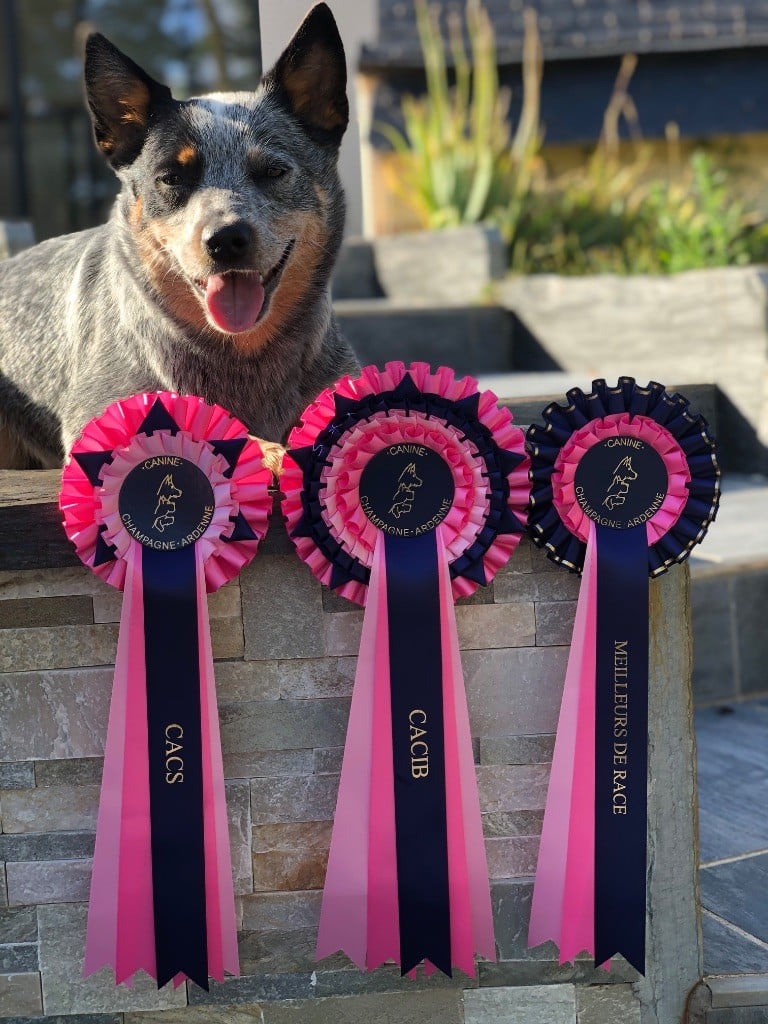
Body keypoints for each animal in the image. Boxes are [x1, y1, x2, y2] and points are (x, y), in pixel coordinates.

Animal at [0, 3, 358, 472]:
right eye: (171, 177)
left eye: (274, 170)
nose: (225, 239)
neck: (241, 357)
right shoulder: (100, 412)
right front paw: (265, 450)